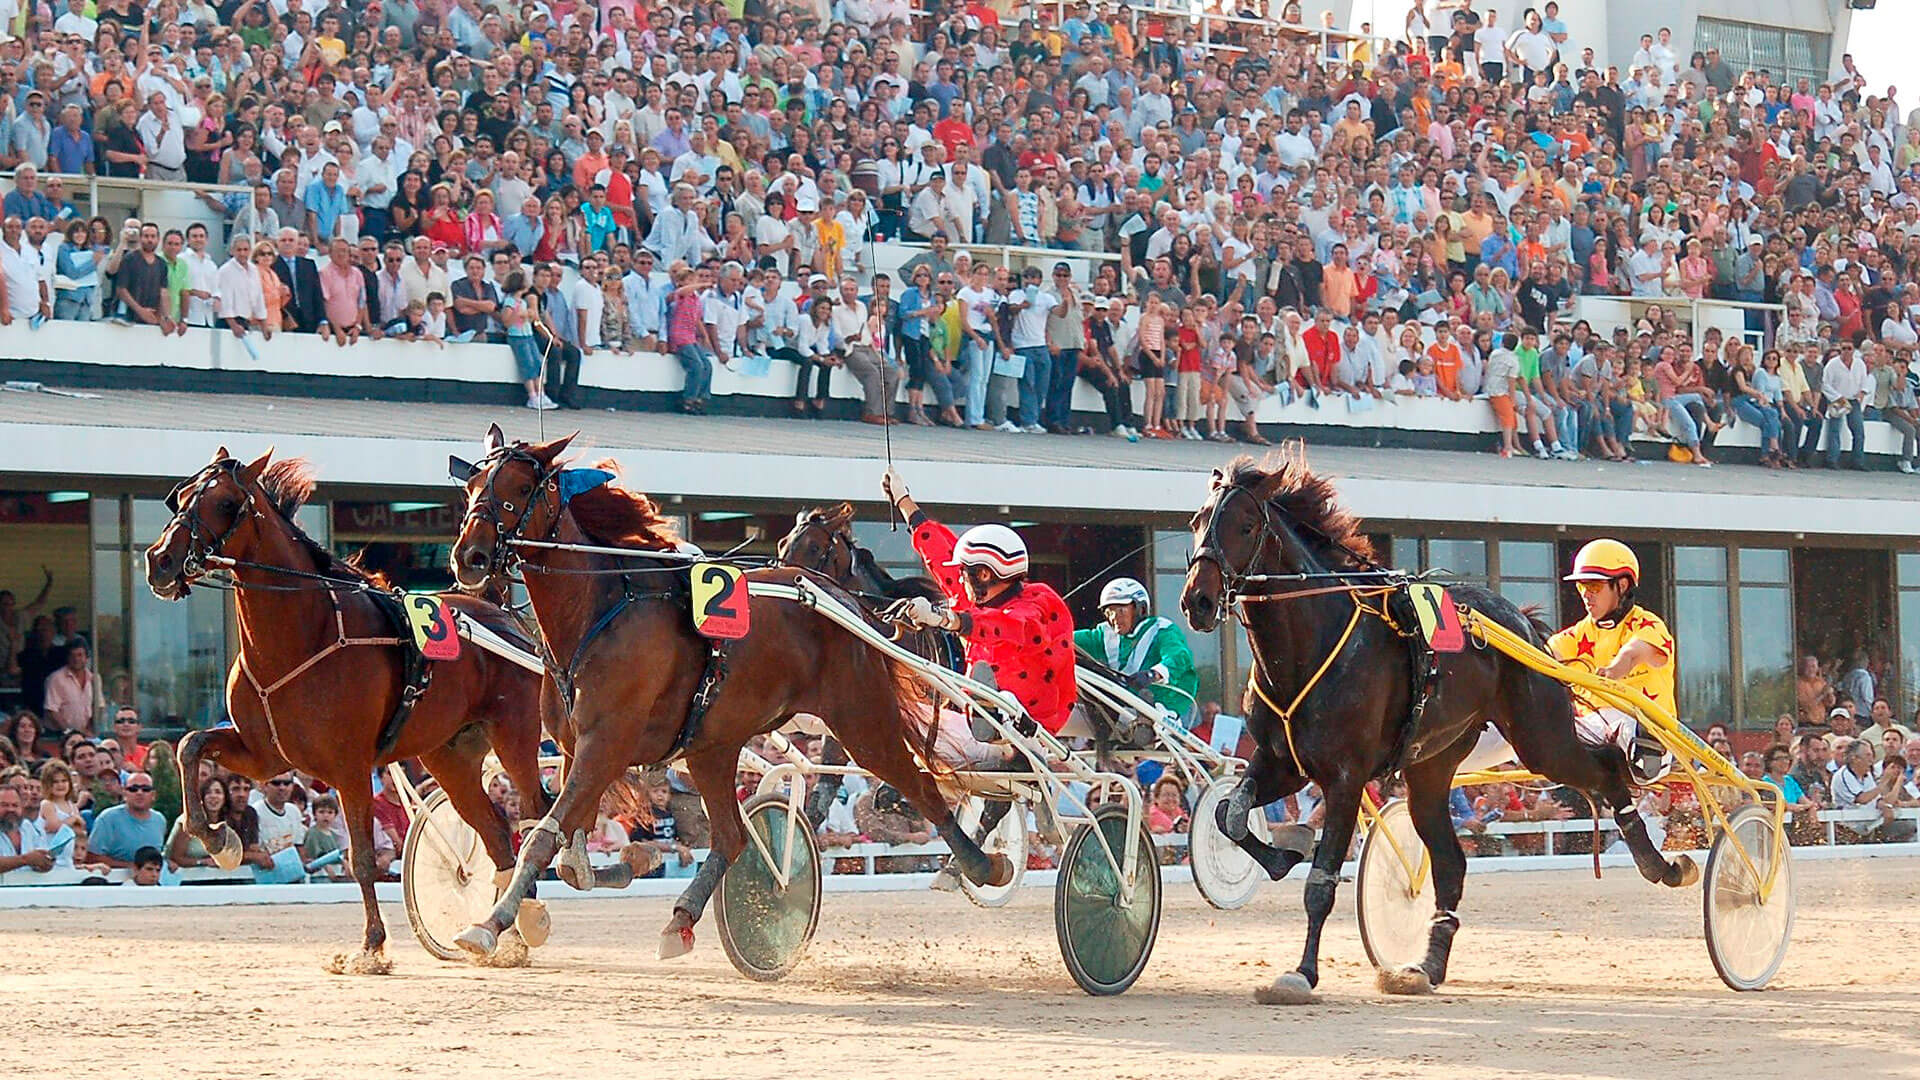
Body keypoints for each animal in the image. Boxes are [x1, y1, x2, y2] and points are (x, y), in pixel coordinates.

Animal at [140, 443, 549, 968]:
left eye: (226, 503)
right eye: (182, 495)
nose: (160, 560)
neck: (296, 638)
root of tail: (504, 616)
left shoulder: (350, 767)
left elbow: (361, 859)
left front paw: (371, 946)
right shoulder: (263, 756)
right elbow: (189, 746)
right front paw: (220, 839)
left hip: (515, 737)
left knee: (536, 815)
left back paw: (529, 918)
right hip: (449, 756)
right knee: (496, 832)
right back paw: (501, 936)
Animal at [435, 424, 1006, 953]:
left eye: (520, 486)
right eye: (474, 486)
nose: (470, 557)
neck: (599, 611)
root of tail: (842, 601)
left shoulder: (606, 744)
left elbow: (542, 835)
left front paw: (490, 924)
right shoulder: (580, 747)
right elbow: (568, 840)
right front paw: (617, 863)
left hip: (860, 719)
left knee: (920, 785)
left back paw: (980, 865)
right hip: (713, 744)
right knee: (731, 836)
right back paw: (681, 919)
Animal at [1182, 447, 1697, 999]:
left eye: (1245, 525)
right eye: (1197, 521)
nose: (1197, 601)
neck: (1310, 645)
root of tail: (1521, 623)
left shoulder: (1344, 777)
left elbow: (1320, 884)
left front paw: (1301, 972)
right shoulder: (1281, 762)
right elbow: (1229, 815)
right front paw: (1286, 851)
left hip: (1542, 739)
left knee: (1606, 769)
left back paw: (1661, 864)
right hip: (1431, 768)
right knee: (1451, 864)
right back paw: (1425, 966)